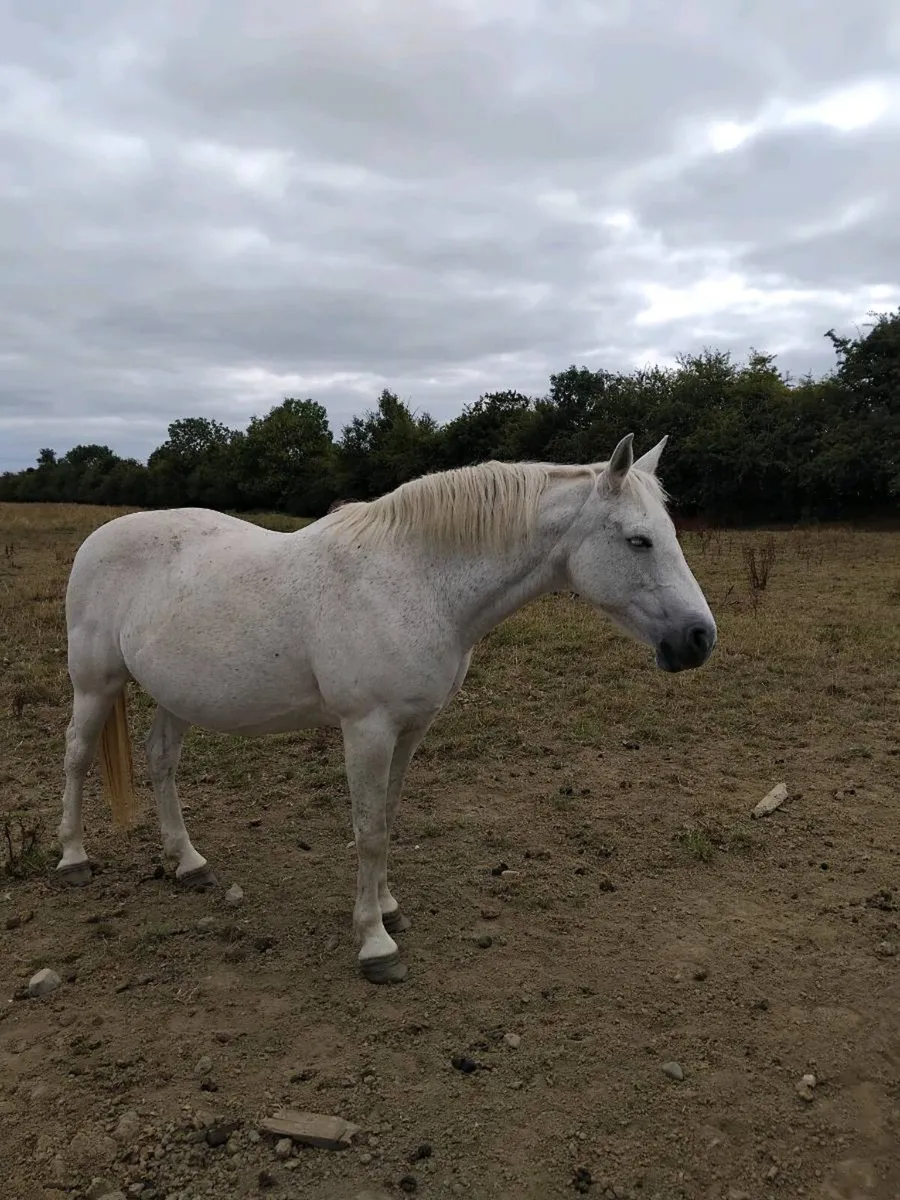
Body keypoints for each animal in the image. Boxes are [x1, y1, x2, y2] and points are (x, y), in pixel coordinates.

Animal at [55, 433, 716, 985]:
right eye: (638, 540)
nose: (699, 639)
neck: (417, 580)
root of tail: (100, 538)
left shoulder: (412, 727)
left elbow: (389, 818)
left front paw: (389, 909)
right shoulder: (367, 729)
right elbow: (369, 829)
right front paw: (375, 945)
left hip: (177, 692)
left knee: (161, 762)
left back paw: (188, 862)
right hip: (94, 683)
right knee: (78, 757)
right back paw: (72, 858)